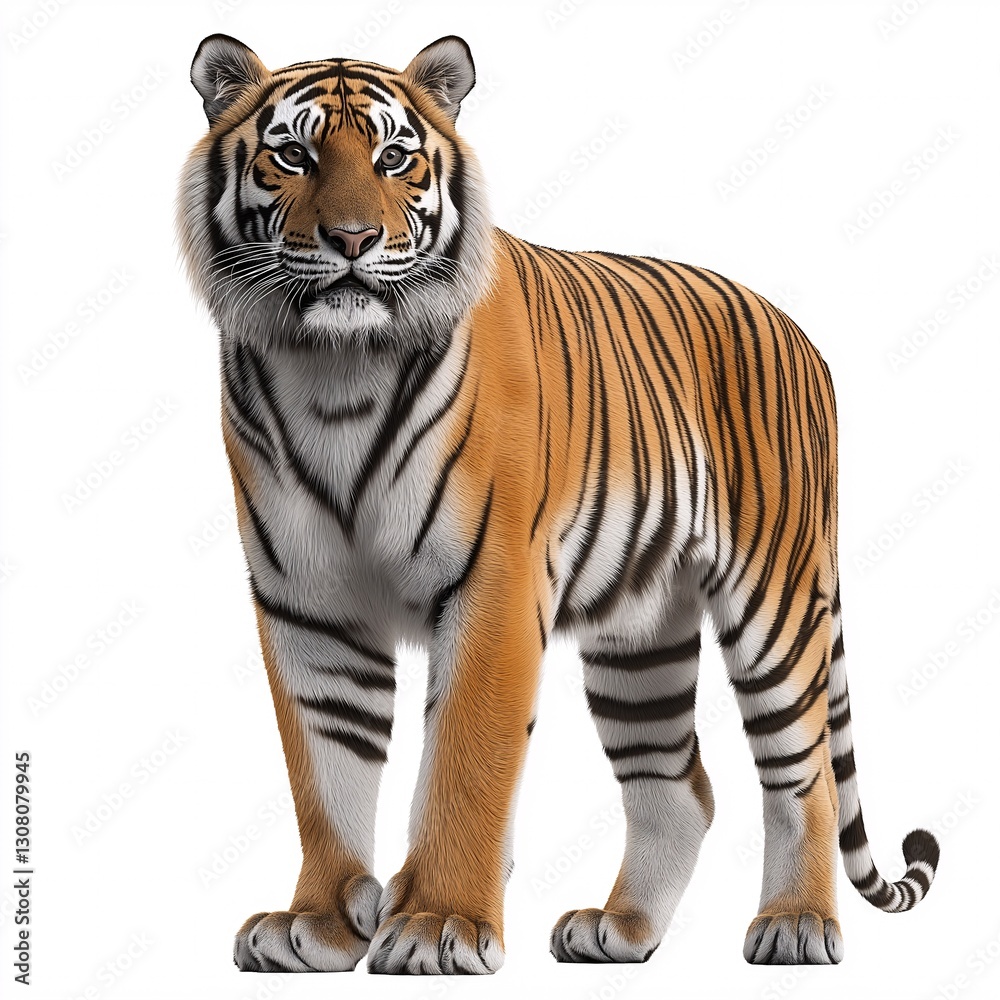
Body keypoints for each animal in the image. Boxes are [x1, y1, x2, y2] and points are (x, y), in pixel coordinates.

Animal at [176, 32, 940, 975]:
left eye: (394, 159)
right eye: (294, 156)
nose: (353, 238)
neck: (335, 373)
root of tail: (800, 334)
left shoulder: (493, 584)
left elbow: (466, 762)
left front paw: (435, 925)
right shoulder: (309, 604)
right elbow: (324, 770)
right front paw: (316, 924)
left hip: (777, 600)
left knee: (808, 775)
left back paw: (795, 924)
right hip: (641, 634)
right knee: (680, 788)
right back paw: (620, 930)